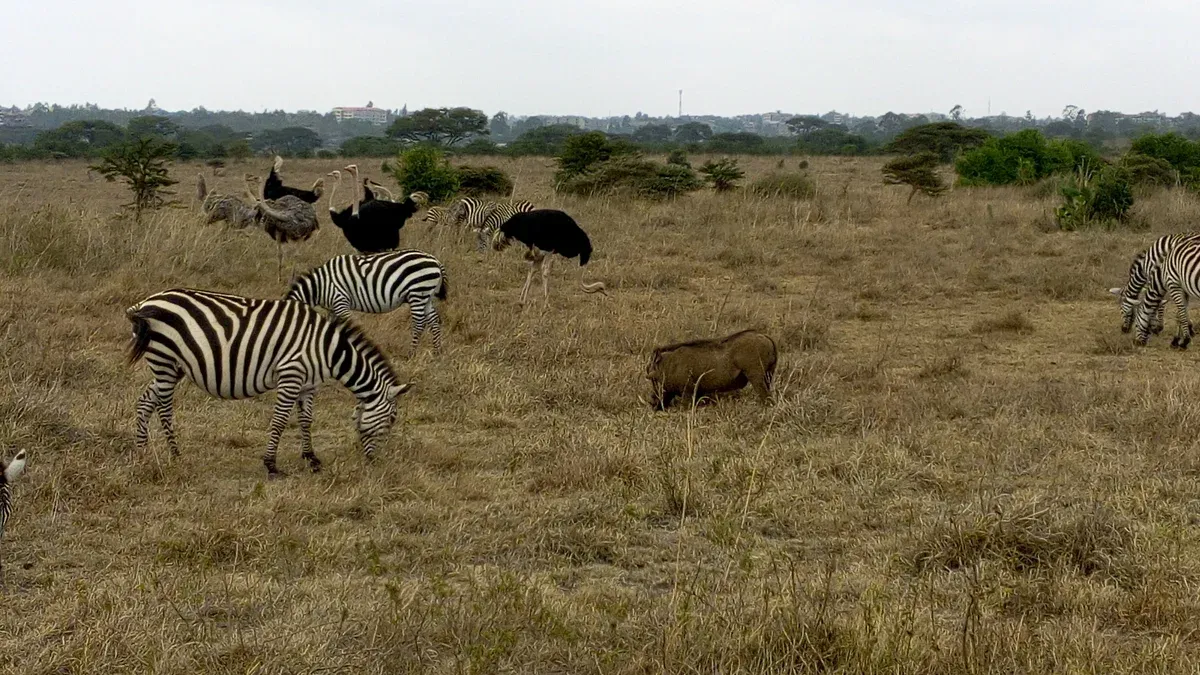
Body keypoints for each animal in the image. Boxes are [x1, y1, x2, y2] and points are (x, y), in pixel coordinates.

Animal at [127, 289, 411, 477]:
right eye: (391, 419)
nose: (374, 461)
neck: (328, 349)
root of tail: (146, 302)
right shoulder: (291, 375)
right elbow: (280, 420)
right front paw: (271, 464)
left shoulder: (308, 384)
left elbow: (306, 420)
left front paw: (311, 459)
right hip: (165, 360)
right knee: (164, 408)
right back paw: (175, 454)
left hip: (172, 366)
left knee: (145, 402)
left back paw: (142, 454)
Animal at [286, 250, 448, 352]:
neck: (320, 286)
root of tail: (436, 261)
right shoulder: (333, 308)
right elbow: (332, 327)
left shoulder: (340, 302)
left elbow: (348, 326)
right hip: (426, 295)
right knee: (434, 320)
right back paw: (437, 352)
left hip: (418, 293)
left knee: (419, 324)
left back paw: (411, 353)